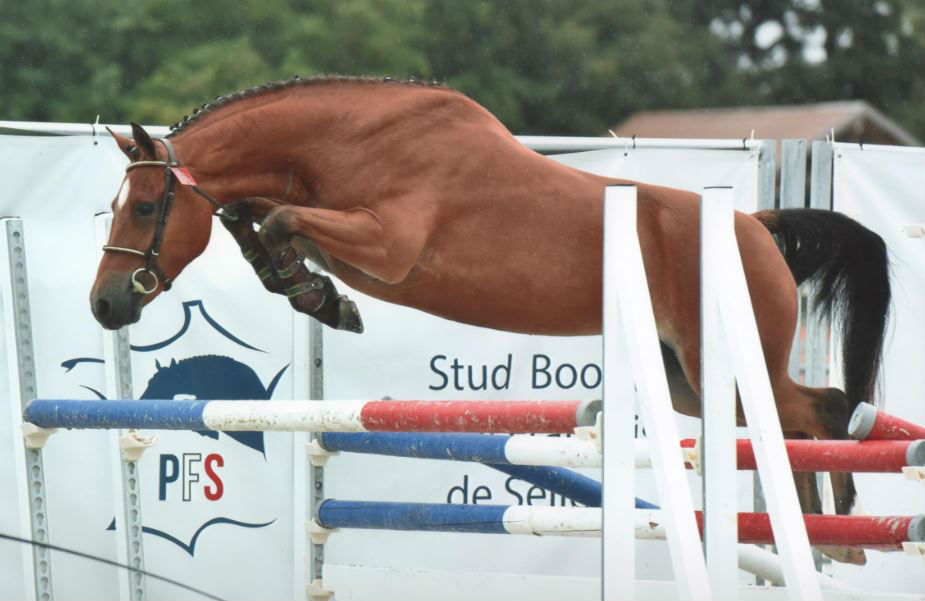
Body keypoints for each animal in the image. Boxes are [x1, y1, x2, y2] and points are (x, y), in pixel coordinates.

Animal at [92, 76, 888, 564]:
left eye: (143, 206)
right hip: (687, 379)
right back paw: (819, 537)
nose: (106, 303)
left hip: (719, 362)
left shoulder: (387, 246)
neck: (345, 140)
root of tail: (755, 224)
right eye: (115, 207)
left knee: (825, 409)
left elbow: (280, 219)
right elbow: (252, 217)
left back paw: (839, 533)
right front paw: (315, 294)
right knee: (793, 422)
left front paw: (316, 293)